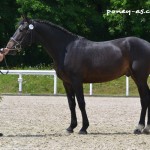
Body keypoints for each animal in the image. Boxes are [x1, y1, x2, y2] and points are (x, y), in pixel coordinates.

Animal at [4, 16, 150, 135]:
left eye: (22, 30)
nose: (9, 48)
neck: (66, 49)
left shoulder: (76, 81)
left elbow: (81, 103)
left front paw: (83, 128)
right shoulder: (67, 83)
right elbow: (71, 104)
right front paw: (71, 127)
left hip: (140, 77)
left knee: (145, 99)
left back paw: (139, 127)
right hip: (136, 77)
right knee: (145, 98)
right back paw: (145, 128)